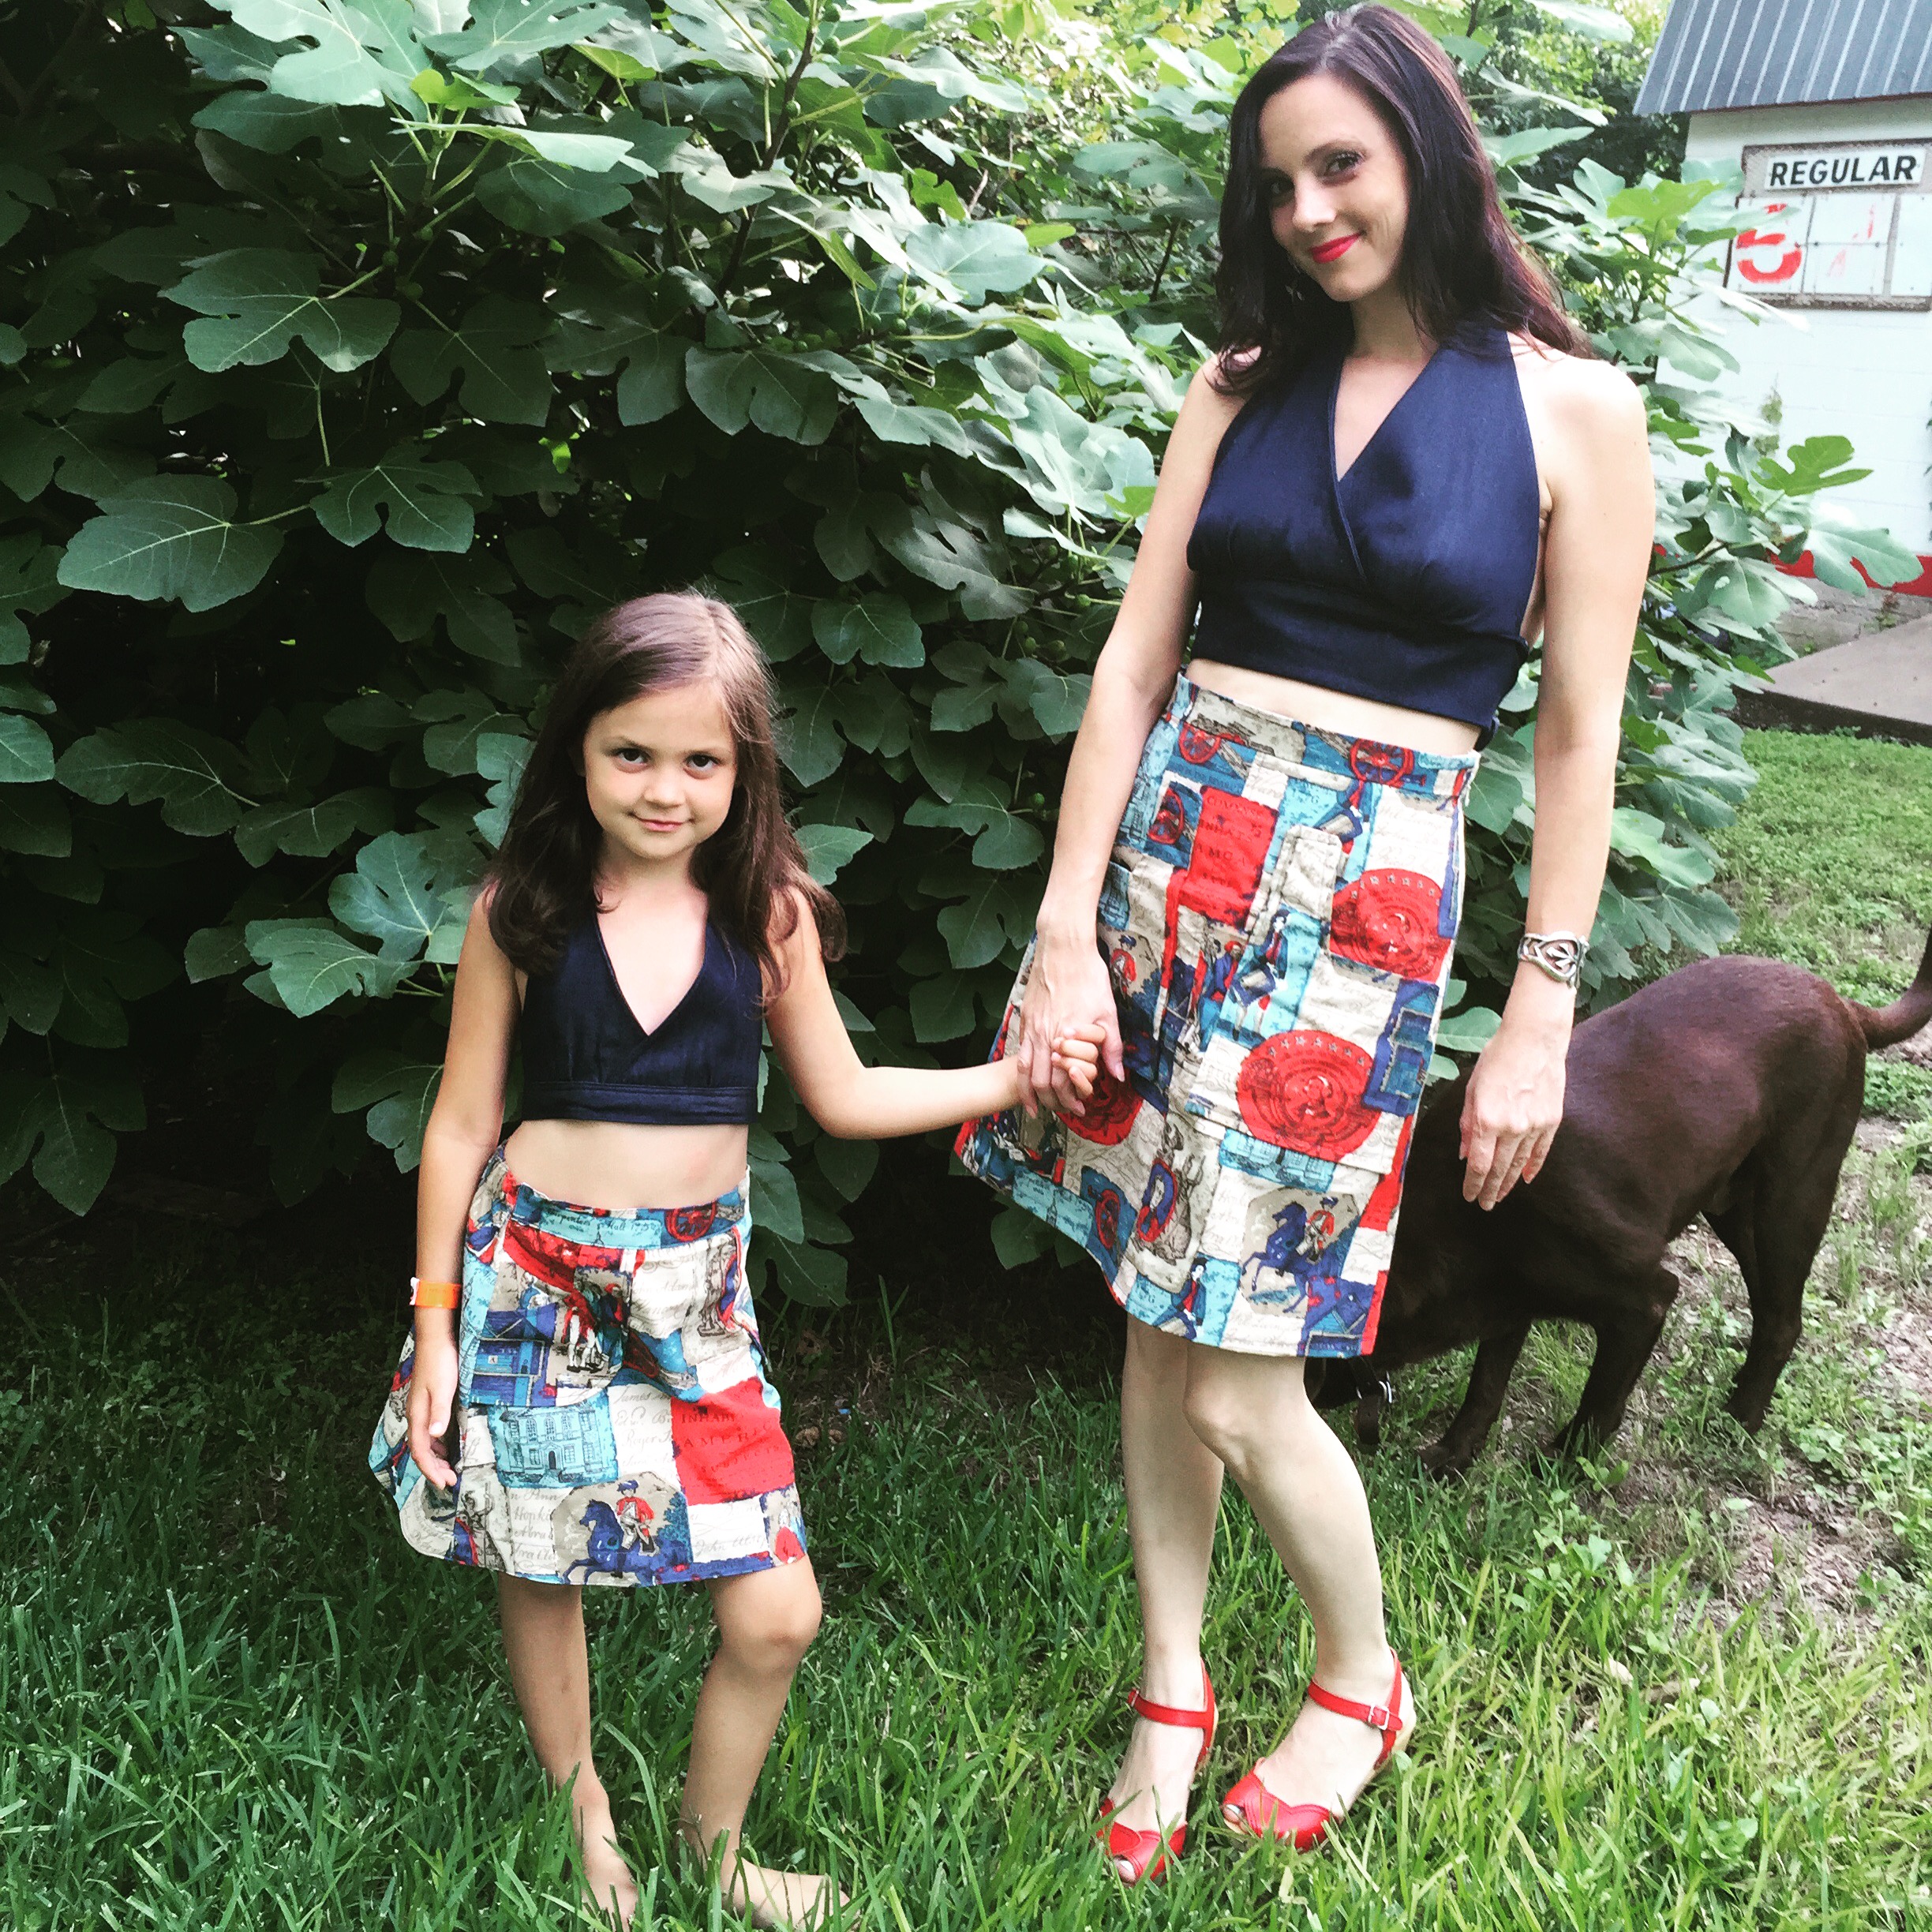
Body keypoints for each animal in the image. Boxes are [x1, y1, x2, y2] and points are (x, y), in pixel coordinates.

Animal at [1313, 927, 1932, 1468]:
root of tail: (1843, 1004)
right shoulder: (1510, 1299)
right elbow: (1484, 1387)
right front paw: (1452, 1459)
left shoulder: (1643, 1301)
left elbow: (1598, 1404)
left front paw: (1561, 1466)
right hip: (1734, 1209)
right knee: (1772, 1311)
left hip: (1792, 1199)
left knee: (1782, 1318)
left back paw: (1738, 1419)